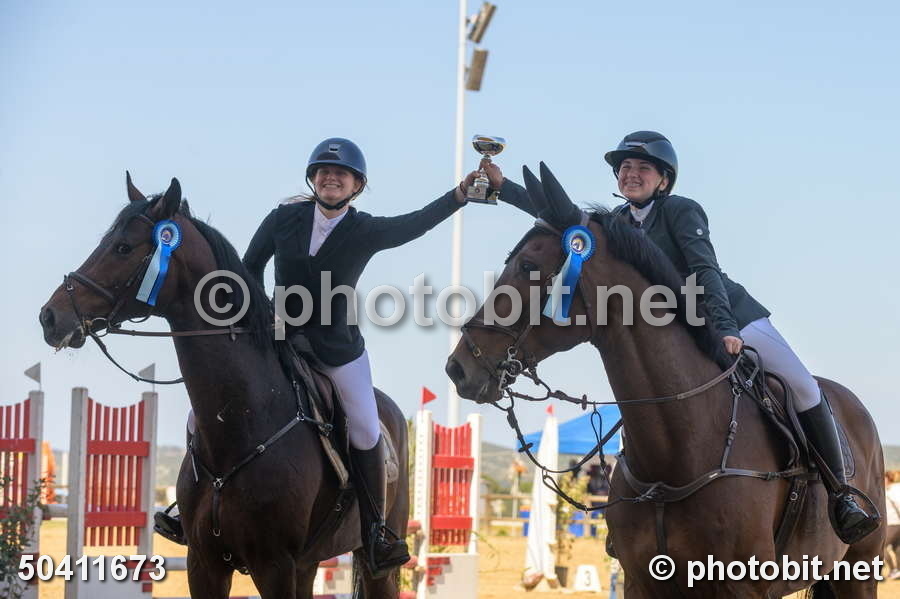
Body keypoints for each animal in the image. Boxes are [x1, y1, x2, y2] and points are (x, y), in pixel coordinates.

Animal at [39, 174, 410, 599]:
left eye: (123, 248)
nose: (50, 317)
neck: (245, 417)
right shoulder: (205, 564)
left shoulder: (275, 566)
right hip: (308, 564)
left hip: (373, 563)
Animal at [445, 163, 885, 598]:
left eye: (527, 267)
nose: (458, 368)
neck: (680, 449)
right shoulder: (641, 581)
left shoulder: (744, 586)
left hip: (858, 568)